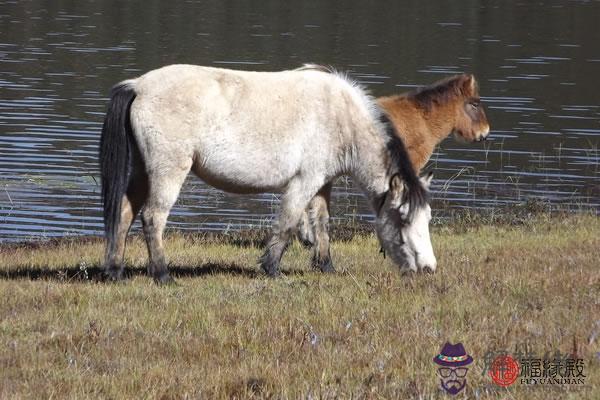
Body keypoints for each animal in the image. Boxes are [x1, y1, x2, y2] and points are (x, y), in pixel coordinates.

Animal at [98, 64, 436, 282]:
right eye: (403, 218)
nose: (428, 269)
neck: (341, 115)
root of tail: (138, 86)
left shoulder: (322, 184)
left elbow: (322, 224)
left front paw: (325, 267)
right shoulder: (304, 182)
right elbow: (287, 224)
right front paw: (271, 269)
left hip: (142, 172)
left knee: (125, 214)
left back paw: (115, 272)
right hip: (168, 171)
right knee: (153, 218)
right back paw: (162, 274)